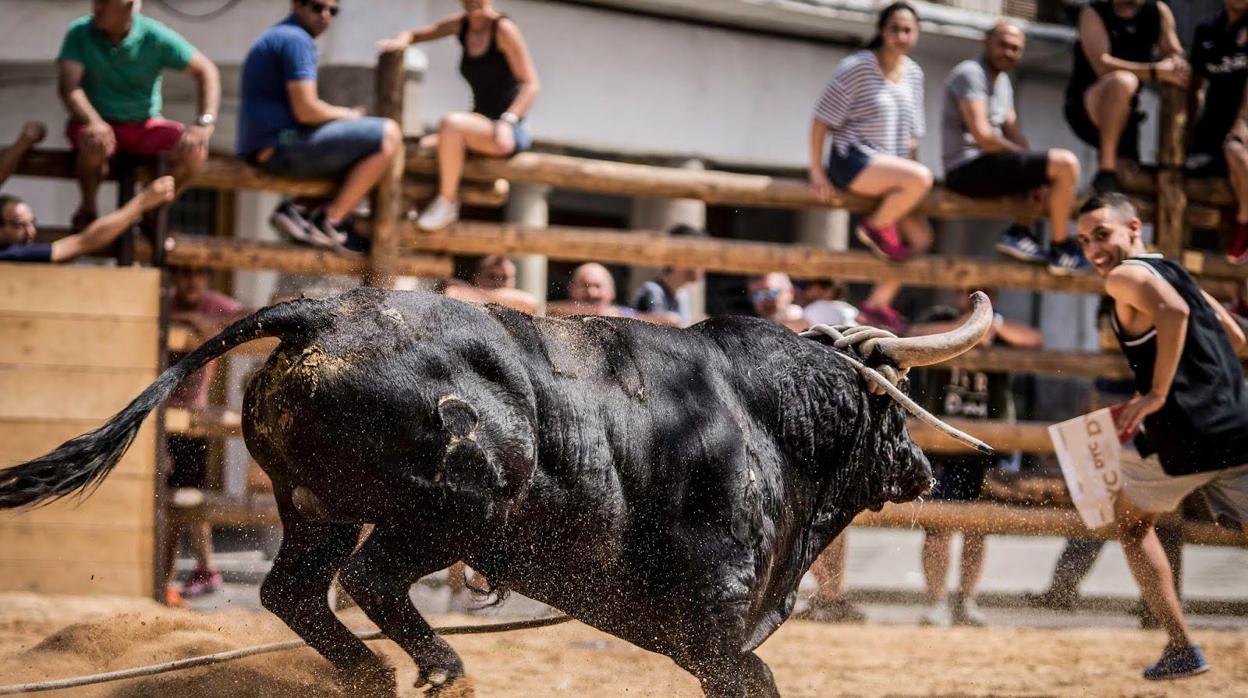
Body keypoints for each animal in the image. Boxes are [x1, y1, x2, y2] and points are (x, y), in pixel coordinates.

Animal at [0, 289, 973, 698]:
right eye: (896, 405)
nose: (924, 469)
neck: (763, 415)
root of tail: (320, 312)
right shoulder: (715, 621)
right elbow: (754, 677)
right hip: (458, 504)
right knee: (371, 582)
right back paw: (438, 668)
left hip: (318, 509)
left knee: (296, 591)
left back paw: (373, 675)